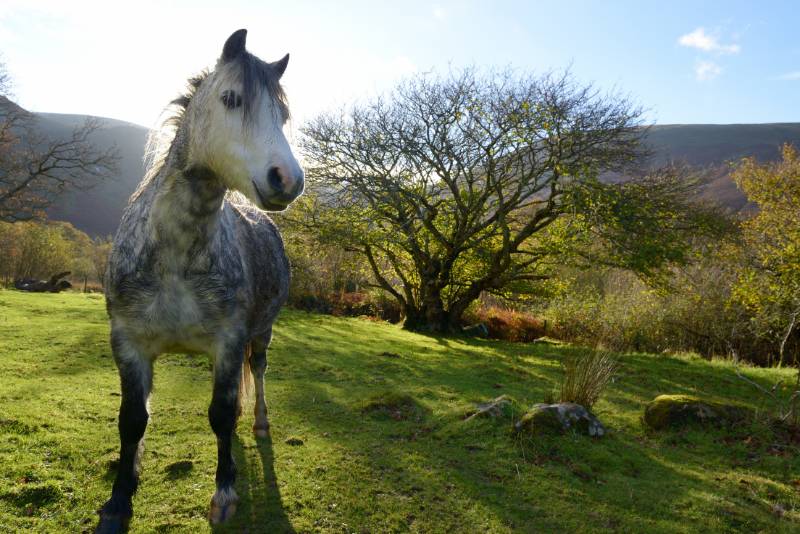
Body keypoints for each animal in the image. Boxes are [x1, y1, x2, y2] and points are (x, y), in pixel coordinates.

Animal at [97, 29, 303, 532]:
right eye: (231, 98)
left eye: (283, 115)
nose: (287, 180)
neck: (173, 257)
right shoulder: (128, 344)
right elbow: (133, 420)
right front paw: (119, 499)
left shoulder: (228, 344)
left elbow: (222, 416)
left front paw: (225, 492)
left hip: (261, 333)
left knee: (259, 372)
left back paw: (261, 422)